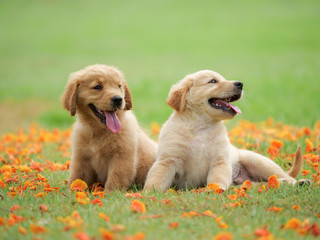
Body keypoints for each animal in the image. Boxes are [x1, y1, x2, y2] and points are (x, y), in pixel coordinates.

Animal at [144, 69, 304, 191]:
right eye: (213, 81)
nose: (240, 84)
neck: (200, 126)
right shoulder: (167, 160)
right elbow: (156, 179)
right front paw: (149, 194)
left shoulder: (220, 161)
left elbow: (217, 178)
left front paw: (215, 189)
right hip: (247, 181)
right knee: (261, 183)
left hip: (259, 162)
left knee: (282, 176)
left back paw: (298, 182)